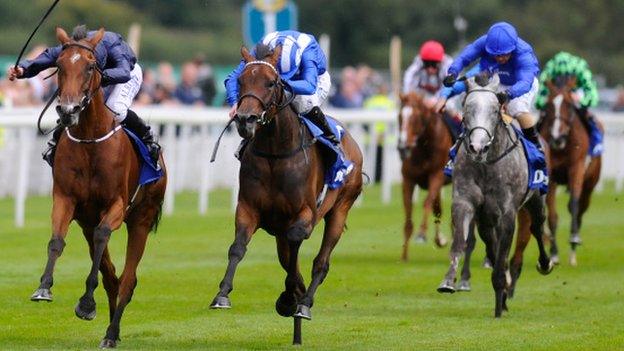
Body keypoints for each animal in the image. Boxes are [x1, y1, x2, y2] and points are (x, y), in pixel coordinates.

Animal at [28, 26, 167, 348]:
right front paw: (44, 288)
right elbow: (56, 241)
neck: (90, 140)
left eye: (91, 67)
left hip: (141, 219)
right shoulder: (66, 200)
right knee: (111, 275)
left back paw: (111, 333)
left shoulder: (115, 204)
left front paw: (86, 303)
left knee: (127, 279)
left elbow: (106, 235)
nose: (68, 109)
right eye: (60, 66)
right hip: (85, 222)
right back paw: (111, 330)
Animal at [210, 45, 364, 346]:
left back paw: (303, 303)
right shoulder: (248, 209)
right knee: (289, 257)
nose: (245, 119)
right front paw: (222, 294)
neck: (275, 153)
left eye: (271, 83)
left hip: (340, 209)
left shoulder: (305, 214)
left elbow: (297, 248)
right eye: (241, 81)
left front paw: (293, 297)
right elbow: (238, 247)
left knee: (321, 262)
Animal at [398, 92, 450, 260]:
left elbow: (427, 203)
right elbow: (409, 211)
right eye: (400, 116)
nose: (403, 146)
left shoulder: (436, 176)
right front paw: (404, 255)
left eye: (415, 117)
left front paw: (421, 233)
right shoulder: (408, 180)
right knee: (438, 208)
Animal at [436, 75, 552, 320]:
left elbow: (502, 254)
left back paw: (544, 263)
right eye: (466, 109)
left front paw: (500, 300)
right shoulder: (465, 202)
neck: (487, 164)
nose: (477, 147)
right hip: (486, 218)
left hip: (536, 199)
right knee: (491, 242)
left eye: (494, 110)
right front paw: (449, 281)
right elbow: (460, 242)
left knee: (537, 227)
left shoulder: (507, 212)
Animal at [540, 78, 604, 266]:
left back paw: (573, 250)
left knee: (581, 207)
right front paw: (554, 253)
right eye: (548, 105)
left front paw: (574, 238)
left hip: (590, 182)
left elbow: (574, 204)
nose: (556, 138)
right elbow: (552, 215)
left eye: (568, 105)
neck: (563, 146)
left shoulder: (577, 168)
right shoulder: (551, 175)